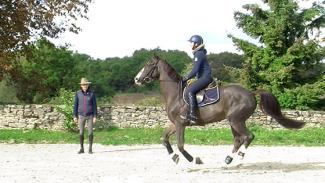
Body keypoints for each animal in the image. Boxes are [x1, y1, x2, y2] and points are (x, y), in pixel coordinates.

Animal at [133, 55, 306, 165]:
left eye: (149, 65)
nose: (136, 79)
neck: (175, 94)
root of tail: (250, 92)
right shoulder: (175, 123)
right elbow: (164, 139)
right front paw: (174, 157)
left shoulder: (181, 124)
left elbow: (181, 145)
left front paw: (193, 160)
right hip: (234, 121)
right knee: (238, 139)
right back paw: (229, 159)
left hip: (235, 120)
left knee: (248, 136)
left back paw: (240, 155)